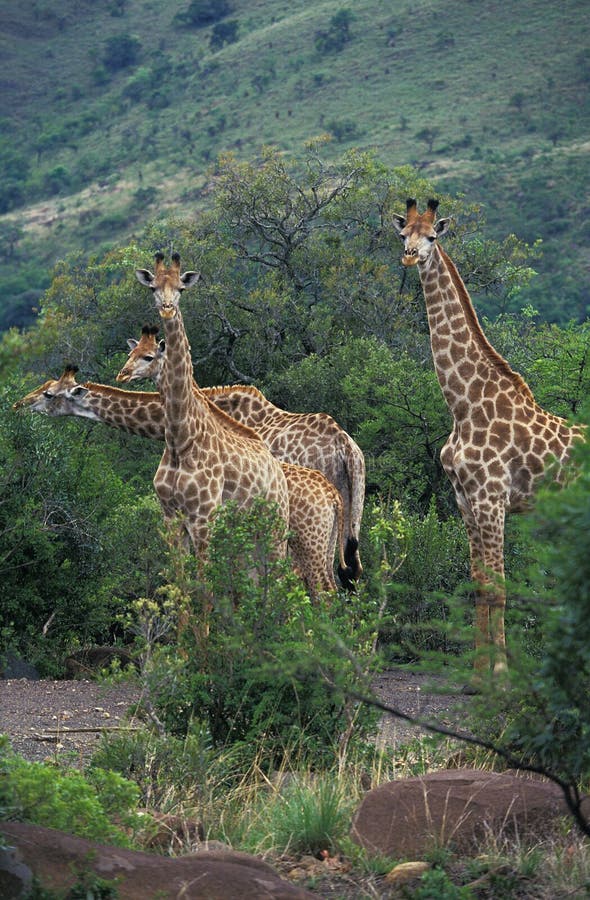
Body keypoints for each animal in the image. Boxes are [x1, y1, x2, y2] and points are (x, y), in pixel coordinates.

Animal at [115, 324, 366, 584]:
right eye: (130, 353)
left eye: (147, 356)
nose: (122, 374)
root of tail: (344, 445)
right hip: (352, 499)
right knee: (348, 567)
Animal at [394, 197, 588, 676]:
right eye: (402, 233)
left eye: (433, 236)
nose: (410, 256)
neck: (462, 404)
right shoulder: (465, 501)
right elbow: (479, 584)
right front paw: (477, 674)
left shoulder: (491, 499)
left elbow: (499, 587)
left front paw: (500, 674)